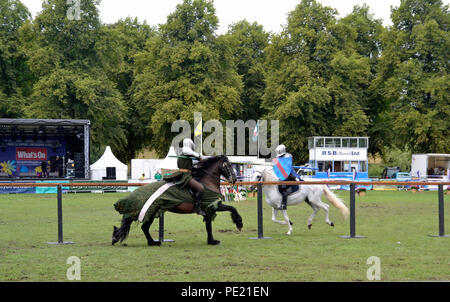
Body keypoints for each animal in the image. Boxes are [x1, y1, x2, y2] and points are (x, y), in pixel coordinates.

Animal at [112, 156, 243, 245]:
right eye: (229, 165)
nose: (234, 179)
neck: (207, 183)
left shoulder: (210, 208)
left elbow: (209, 225)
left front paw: (211, 241)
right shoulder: (212, 205)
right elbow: (232, 208)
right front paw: (239, 223)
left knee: (144, 228)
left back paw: (151, 242)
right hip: (151, 212)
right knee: (144, 227)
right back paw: (153, 242)